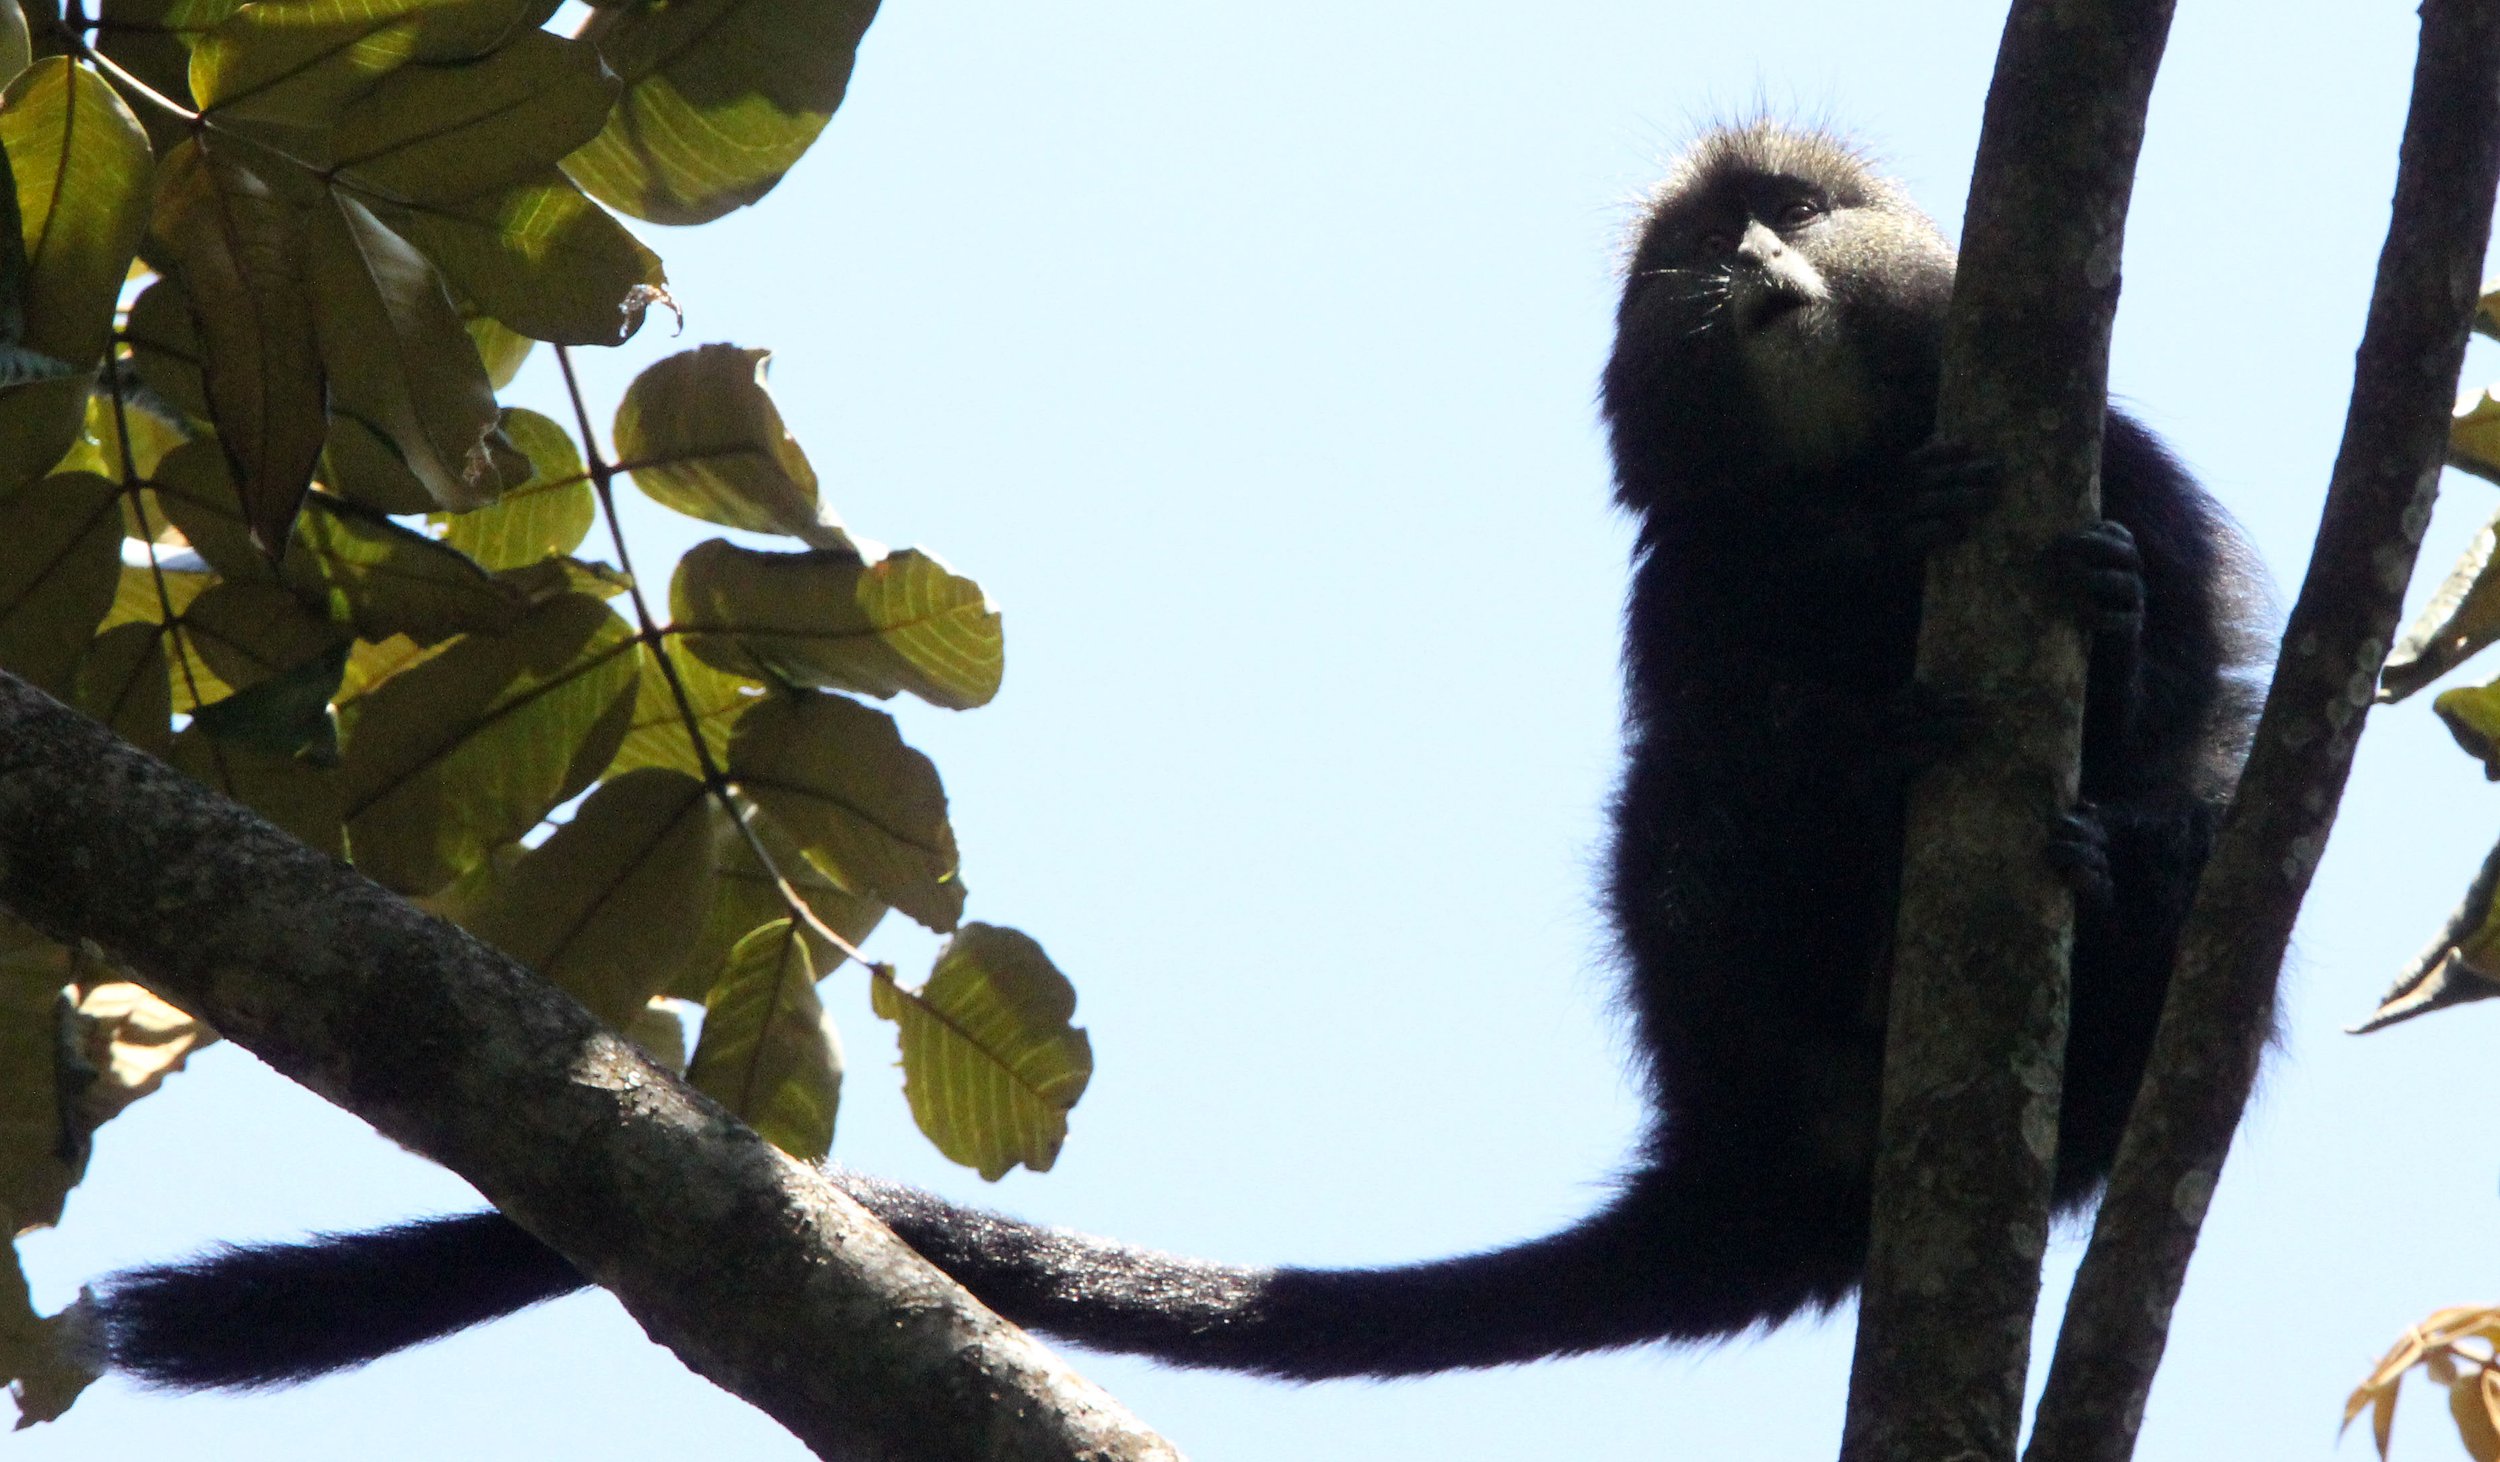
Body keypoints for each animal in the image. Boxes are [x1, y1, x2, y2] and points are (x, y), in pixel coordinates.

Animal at [92, 121, 2264, 1390]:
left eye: (1788, 214)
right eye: (1697, 264)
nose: (1751, 274)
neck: (1834, 485)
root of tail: (1748, 1168)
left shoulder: (2103, 447)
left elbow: (2168, 682)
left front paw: (2105, 628)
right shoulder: (1696, 565)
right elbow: (1716, 731)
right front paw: (1864, 738)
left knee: (2183, 858)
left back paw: (2099, 897)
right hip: (1732, 1015)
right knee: (1683, 822)